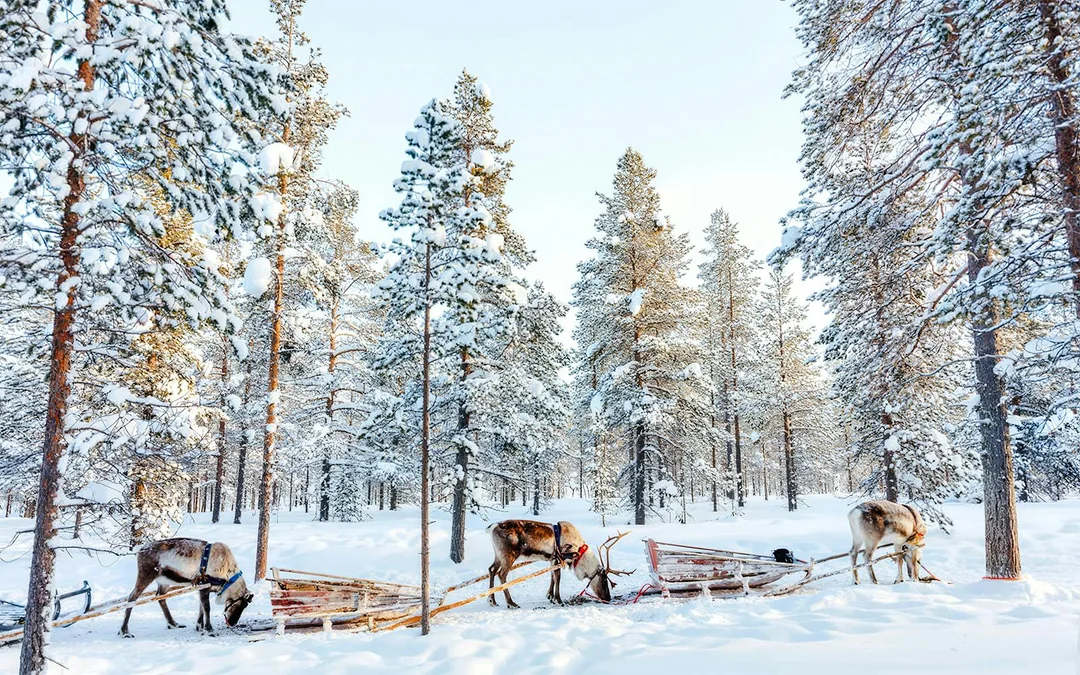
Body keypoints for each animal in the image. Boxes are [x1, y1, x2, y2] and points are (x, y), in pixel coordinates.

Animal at [119, 538, 254, 637]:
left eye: (245, 606)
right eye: (238, 604)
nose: (232, 623)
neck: (227, 577)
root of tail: (141, 550)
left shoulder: (203, 587)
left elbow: (201, 607)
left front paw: (199, 627)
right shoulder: (204, 585)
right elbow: (207, 608)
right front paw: (209, 630)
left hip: (164, 581)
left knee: (160, 597)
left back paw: (173, 624)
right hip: (146, 575)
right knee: (132, 597)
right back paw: (125, 631)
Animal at [487, 520, 633, 608]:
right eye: (604, 580)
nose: (608, 598)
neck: (579, 551)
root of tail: (492, 527)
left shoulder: (552, 559)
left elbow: (552, 577)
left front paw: (550, 596)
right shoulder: (559, 558)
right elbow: (558, 578)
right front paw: (558, 600)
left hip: (498, 555)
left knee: (491, 570)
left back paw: (492, 600)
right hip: (508, 555)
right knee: (501, 574)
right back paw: (511, 603)